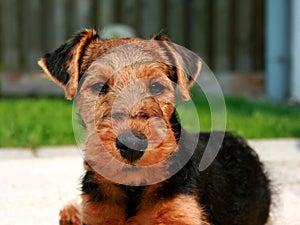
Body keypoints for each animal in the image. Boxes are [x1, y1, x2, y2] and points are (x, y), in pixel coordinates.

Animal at [38, 29, 270, 225]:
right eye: (99, 86)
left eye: (156, 87)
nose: (132, 145)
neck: (133, 188)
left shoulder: (182, 214)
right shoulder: (99, 216)